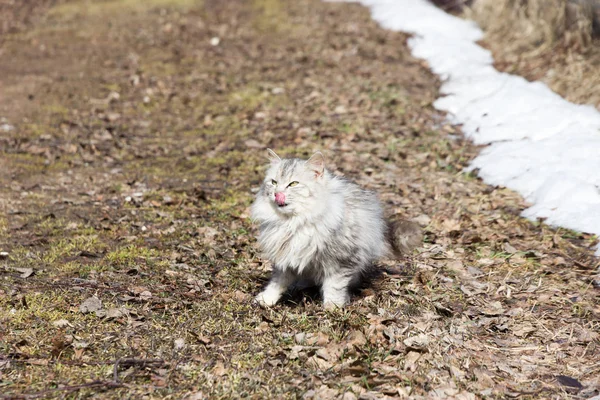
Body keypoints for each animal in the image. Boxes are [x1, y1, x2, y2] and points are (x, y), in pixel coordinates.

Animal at [250, 148, 422, 308]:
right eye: (273, 182)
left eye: (293, 184)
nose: (277, 194)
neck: (294, 222)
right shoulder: (284, 258)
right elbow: (277, 283)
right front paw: (266, 300)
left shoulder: (341, 260)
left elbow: (334, 285)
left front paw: (332, 307)